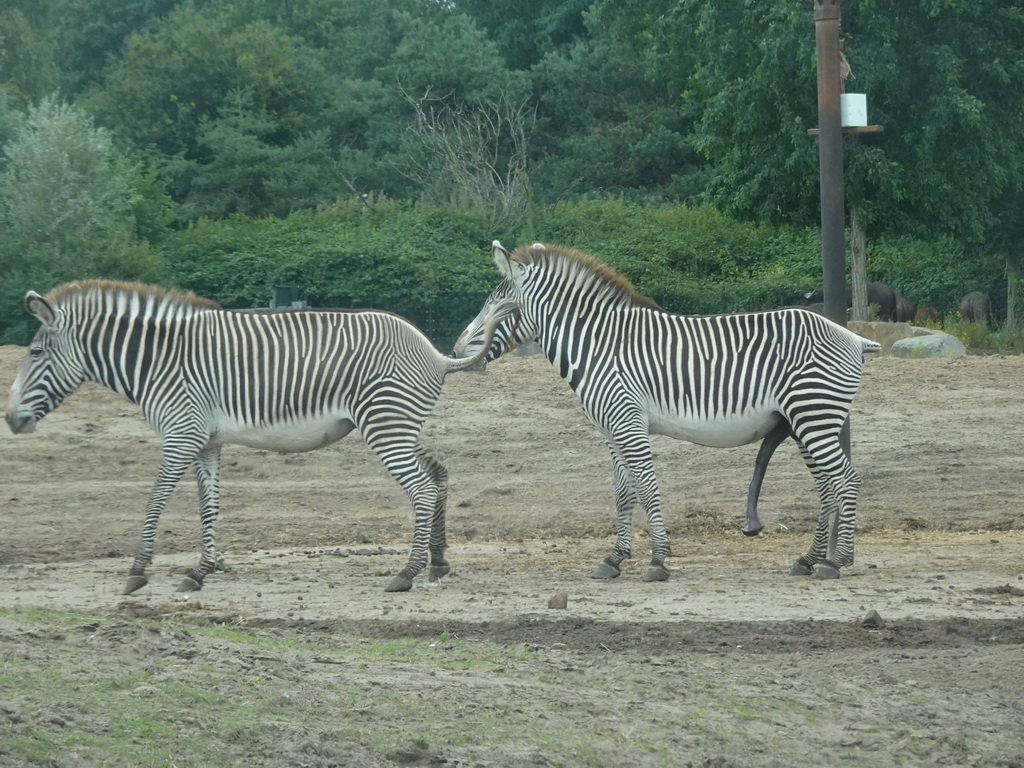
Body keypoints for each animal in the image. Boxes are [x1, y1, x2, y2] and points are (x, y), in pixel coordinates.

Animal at [2, 280, 509, 593]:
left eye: (35, 352)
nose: (10, 419)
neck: (157, 362)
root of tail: (436, 354)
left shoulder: (181, 434)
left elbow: (156, 498)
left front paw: (137, 572)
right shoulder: (206, 442)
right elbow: (208, 506)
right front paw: (199, 572)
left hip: (385, 424)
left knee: (421, 489)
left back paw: (406, 572)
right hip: (400, 425)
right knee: (438, 475)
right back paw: (437, 565)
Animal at [454, 240, 880, 581]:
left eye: (500, 306)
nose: (457, 349)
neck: (599, 347)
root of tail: (853, 337)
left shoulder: (628, 423)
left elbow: (646, 487)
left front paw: (658, 560)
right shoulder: (611, 431)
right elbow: (623, 492)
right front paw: (614, 559)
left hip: (814, 416)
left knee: (846, 480)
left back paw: (836, 561)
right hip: (806, 421)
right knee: (827, 486)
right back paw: (809, 559)